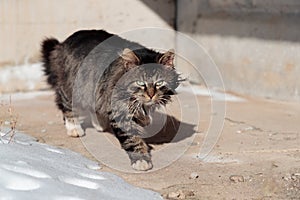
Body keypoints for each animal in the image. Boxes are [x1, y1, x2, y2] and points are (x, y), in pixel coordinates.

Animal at [40, 29, 182, 170]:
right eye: (140, 83)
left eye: (159, 82)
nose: (151, 95)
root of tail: (63, 43)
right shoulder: (120, 113)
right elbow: (132, 139)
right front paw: (141, 160)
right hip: (72, 87)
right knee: (66, 106)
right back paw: (74, 128)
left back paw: (100, 124)